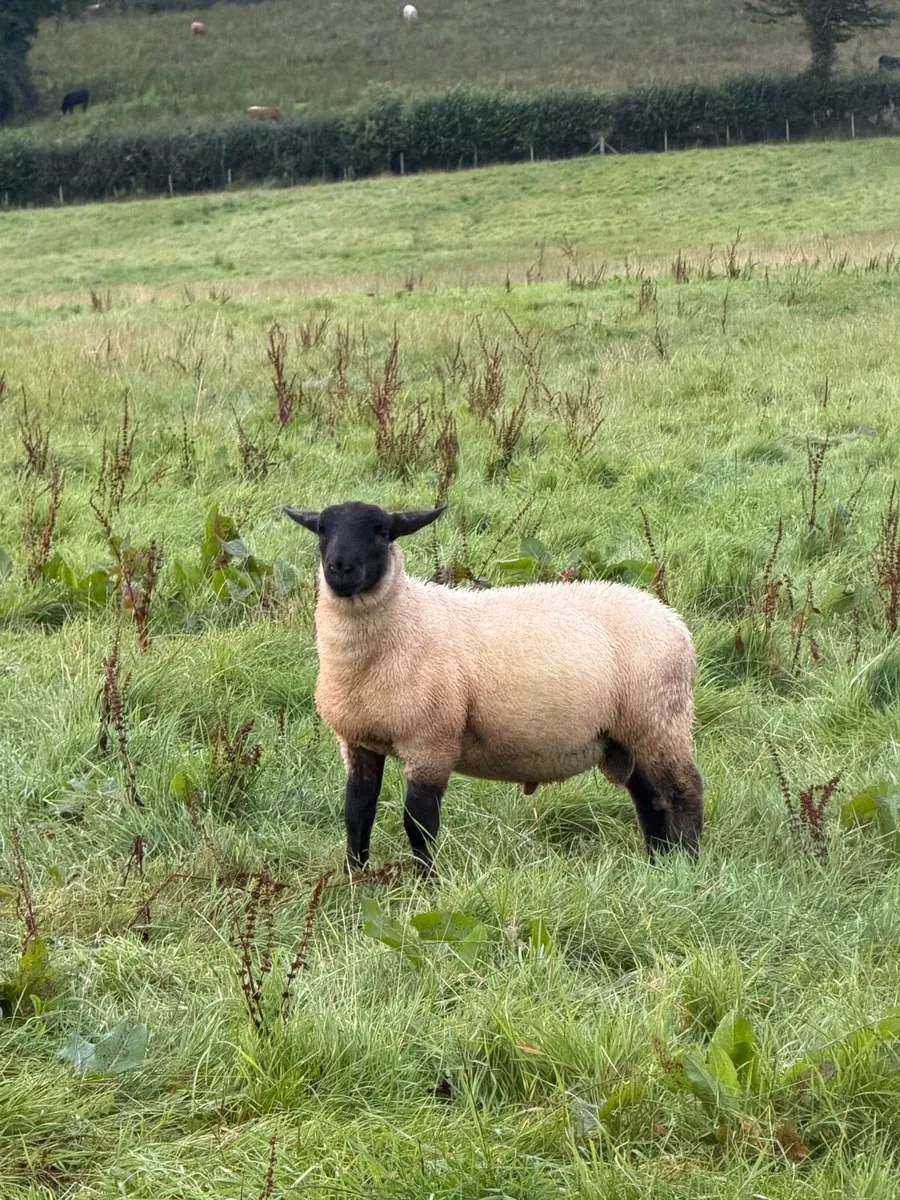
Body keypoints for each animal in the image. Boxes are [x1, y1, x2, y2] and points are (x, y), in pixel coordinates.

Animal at [284, 500, 704, 876]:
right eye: (322, 530)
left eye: (382, 532)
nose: (341, 569)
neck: (406, 620)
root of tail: (671, 619)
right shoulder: (358, 741)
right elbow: (357, 816)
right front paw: (352, 880)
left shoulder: (431, 743)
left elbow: (419, 824)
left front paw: (426, 884)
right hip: (628, 733)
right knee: (651, 799)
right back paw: (658, 863)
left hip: (659, 718)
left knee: (685, 792)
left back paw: (687, 864)